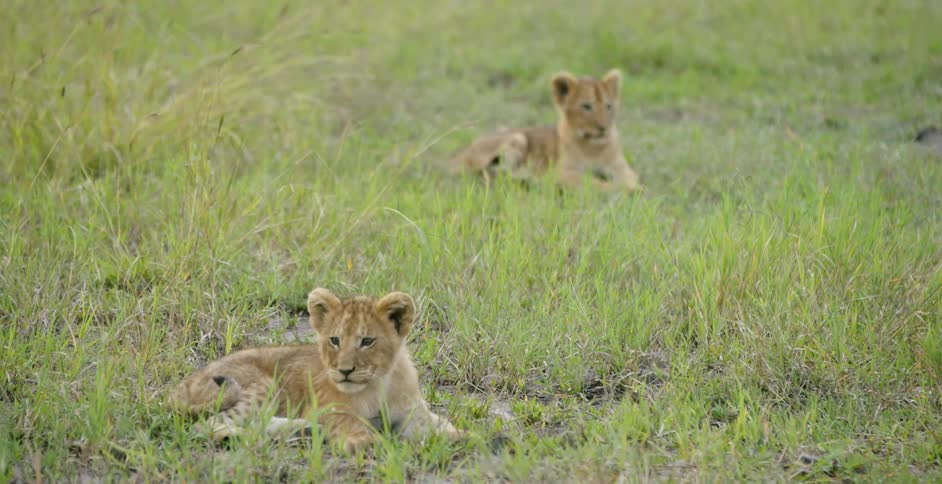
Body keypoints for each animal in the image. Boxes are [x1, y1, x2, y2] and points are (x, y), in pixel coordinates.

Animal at [168, 288, 459, 453]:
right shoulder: (324, 406)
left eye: (367, 341)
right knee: (208, 425)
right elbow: (347, 419)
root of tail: (178, 388)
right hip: (262, 384)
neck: (378, 383)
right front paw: (361, 439)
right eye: (334, 340)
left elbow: (438, 424)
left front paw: (458, 436)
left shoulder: (410, 412)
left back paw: (304, 431)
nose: (345, 371)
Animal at [449, 69, 639, 191]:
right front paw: (621, 189)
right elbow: (591, 181)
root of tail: (461, 152)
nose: (603, 128)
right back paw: (530, 179)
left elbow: (632, 178)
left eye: (608, 106)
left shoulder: (620, 167)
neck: (593, 147)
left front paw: (635, 188)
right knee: (492, 173)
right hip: (518, 138)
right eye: (586, 106)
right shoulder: (562, 172)